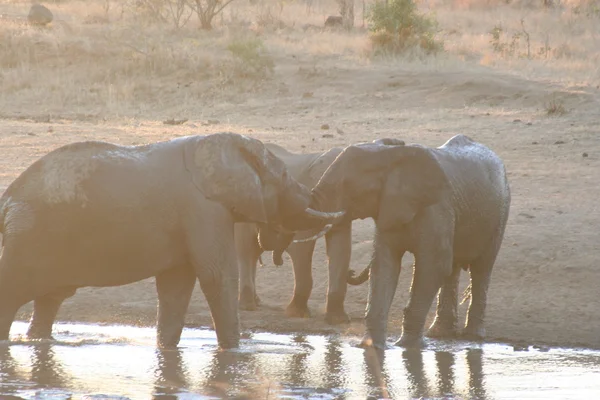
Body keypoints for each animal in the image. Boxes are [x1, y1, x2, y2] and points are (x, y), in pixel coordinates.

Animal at [0, 133, 342, 348]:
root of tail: (7, 198)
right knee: (14, 291)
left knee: (51, 298)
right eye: (284, 176)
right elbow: (216, 276)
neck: (220, 144)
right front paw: (233, 354)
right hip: (28, 237)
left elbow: (175, 285)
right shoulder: (203, 208)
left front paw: (167, 350)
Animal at [232, 139, 406, 324]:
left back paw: (255, 301)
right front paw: (298, 314)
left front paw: (338, 320)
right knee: (247, 251)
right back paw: (248, 306)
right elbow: (301, 248)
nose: (352, 272)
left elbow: (341, 248)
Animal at [298, 134, 508, 346]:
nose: (352, 271)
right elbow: (384, 265)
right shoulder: (389, 207)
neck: (391, 156)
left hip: (500, 213)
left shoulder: (436, 209)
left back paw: (472, 336)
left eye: (347, 184)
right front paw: (372, 346)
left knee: (481, 268)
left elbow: (434, 265)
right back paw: (439, 334)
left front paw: (406, 346)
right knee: (453, 269)